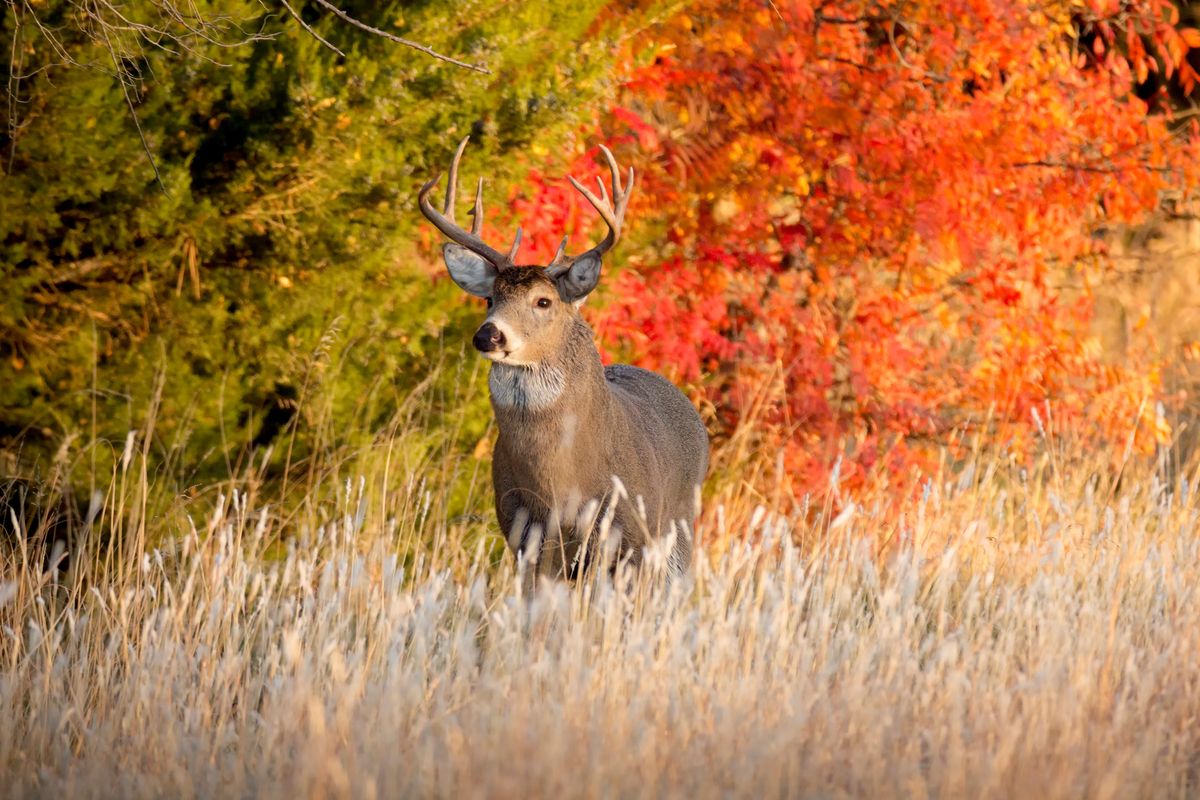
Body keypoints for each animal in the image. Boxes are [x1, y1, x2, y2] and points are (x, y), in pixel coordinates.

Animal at [418, 137, 709, 584]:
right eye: (490, 298)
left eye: (544, 301)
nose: (488, 334)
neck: (561, 484)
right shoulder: (526, 536)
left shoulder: (630, 537)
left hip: (677, 530)